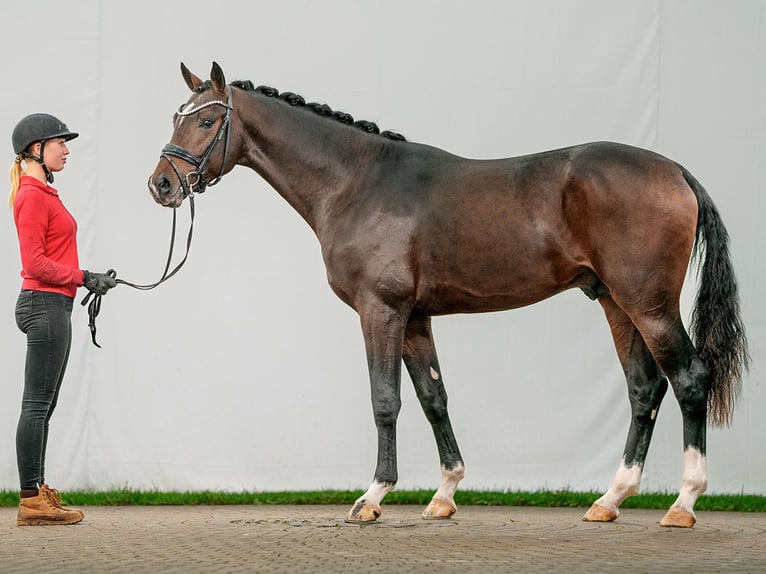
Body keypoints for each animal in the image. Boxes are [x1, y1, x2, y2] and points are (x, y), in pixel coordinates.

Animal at [147, 63, 748, 532]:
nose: (161, 185)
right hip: (616, 304)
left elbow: (385, 399)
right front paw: (444, 495)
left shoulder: (381, 312)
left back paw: (684, 503)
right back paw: (611, 499)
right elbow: (433, 398)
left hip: (649, 306)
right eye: (177, 116)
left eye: (206, 119)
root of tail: (675, 171)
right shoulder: (415, 319)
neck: (357, 182)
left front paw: (372, 497)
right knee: (644, 389)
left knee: (689, 378)